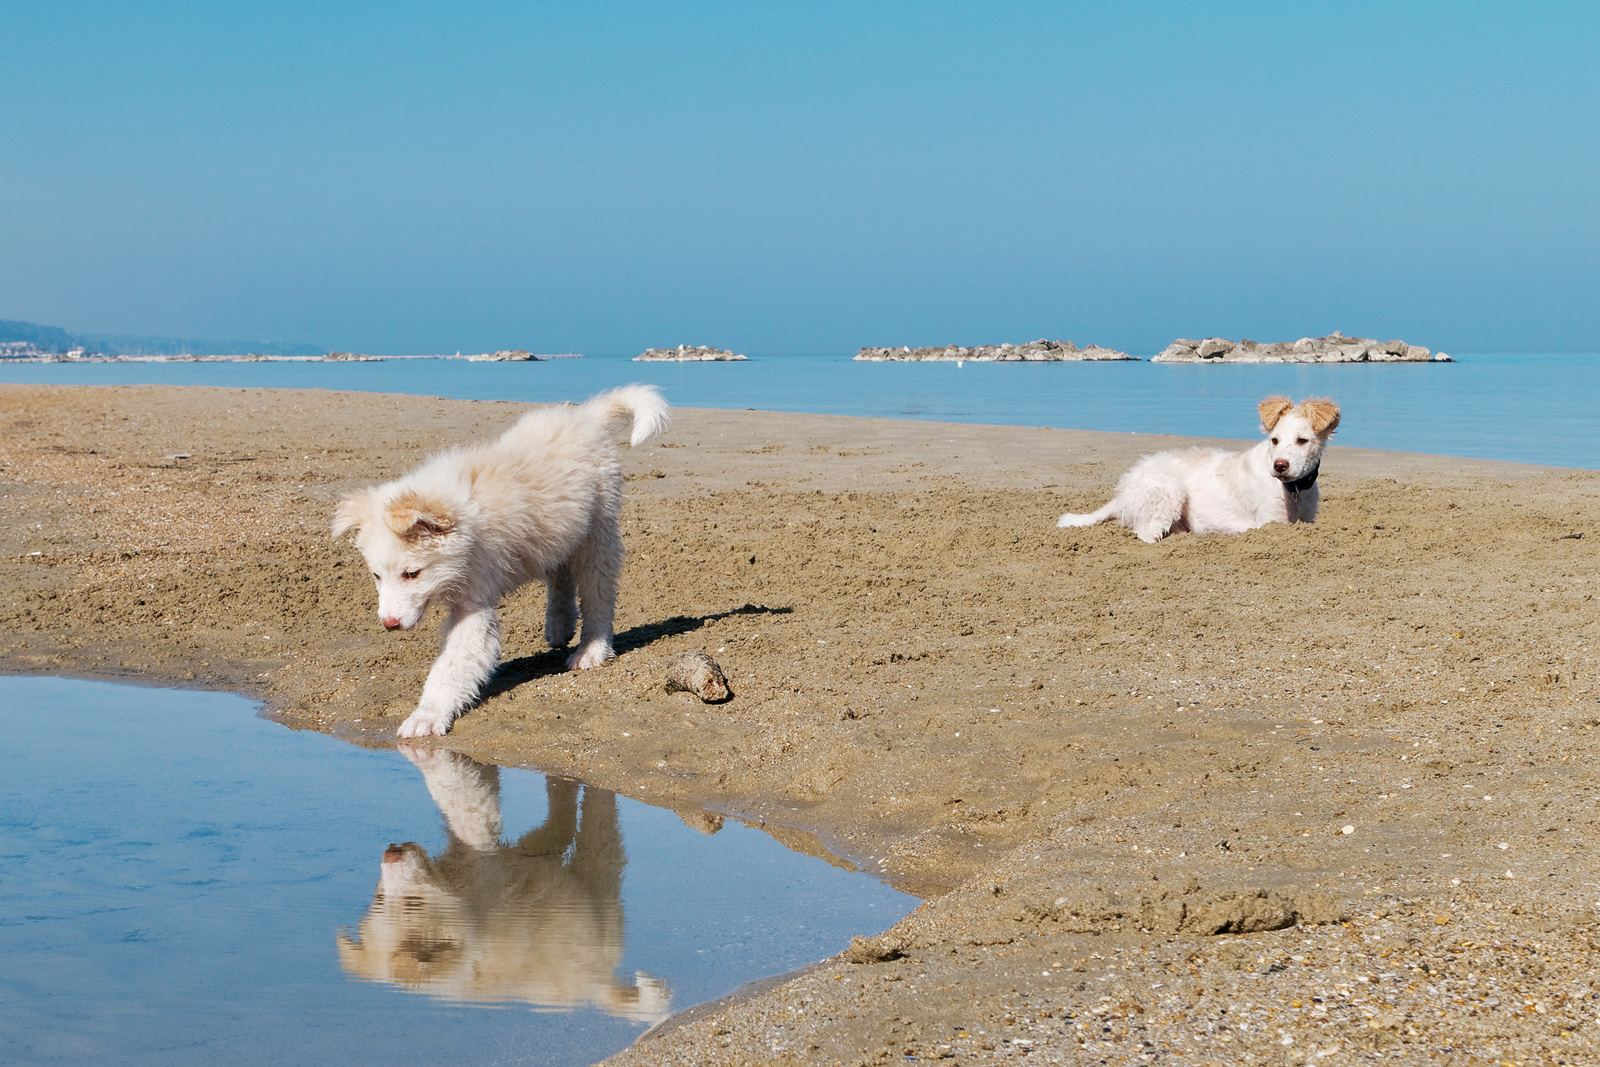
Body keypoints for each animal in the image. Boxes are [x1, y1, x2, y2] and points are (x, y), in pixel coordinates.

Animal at [332, 385, 668, 742]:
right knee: (560, 575)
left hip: (597, 532)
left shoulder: (473, 605)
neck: (466, 523)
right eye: (376, 576)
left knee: (598, 594)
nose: (389, 624)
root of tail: (583, 416)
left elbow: (449, 668)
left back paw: (591, 650)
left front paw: (425, 717)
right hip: (559, 532)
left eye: (412, 573)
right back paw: (559, 626)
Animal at [1062, 396, 1337, 543]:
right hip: (1169, 491)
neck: (1294, 490)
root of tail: (1121, 495)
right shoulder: (1270, 521)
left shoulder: (1308, 518)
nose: (1279, 466)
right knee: (1145, 534)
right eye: (1275, 440)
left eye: (1302, 441)